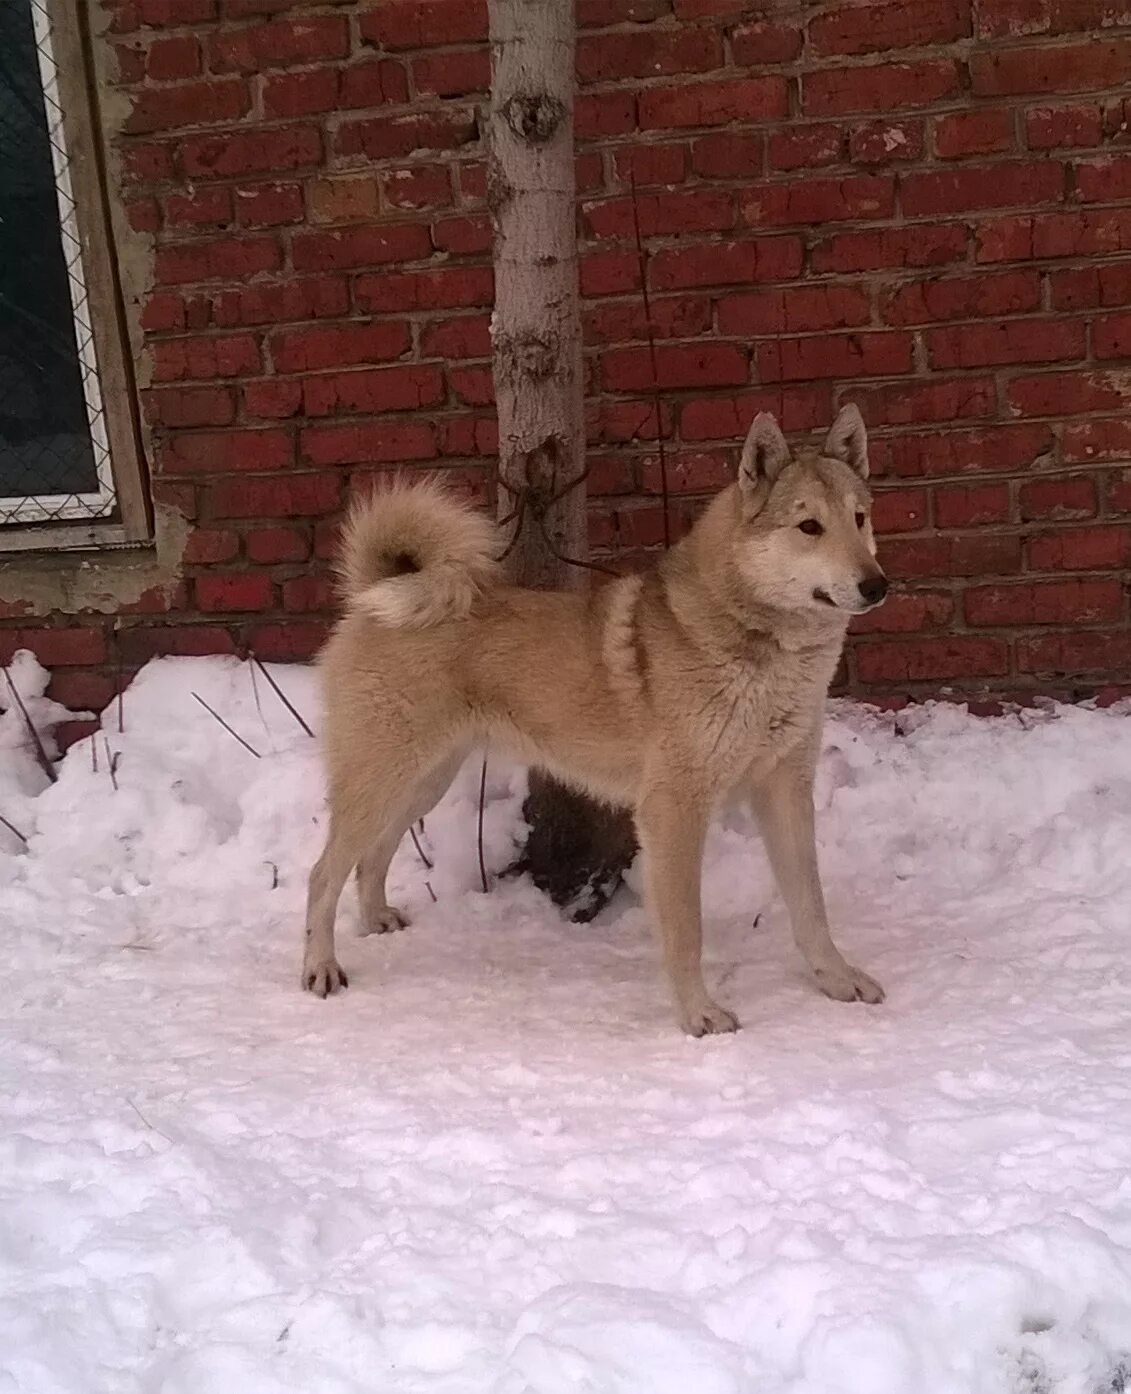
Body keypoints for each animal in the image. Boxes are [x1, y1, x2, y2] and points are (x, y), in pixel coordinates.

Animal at [305, 404, 886, 1037]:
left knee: (371, 857)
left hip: (421, 781)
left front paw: (836, 980)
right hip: (384, 777)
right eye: (809, 527)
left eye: (859, 518)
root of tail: (378, 592)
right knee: (322, 873)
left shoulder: (785, 790)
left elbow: (811, 904)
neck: (763, 650)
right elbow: (686, 930)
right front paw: (698, 1014)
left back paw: (376, 921)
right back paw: (320, 969)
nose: (878, 585)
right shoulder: (673, 808)